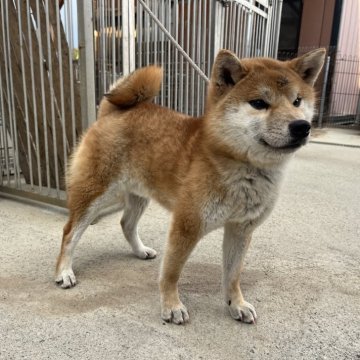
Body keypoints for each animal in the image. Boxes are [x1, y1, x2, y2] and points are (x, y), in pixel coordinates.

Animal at [55, 47, 326, 324]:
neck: (241, 168)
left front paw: (236, 304)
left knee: (126, 224)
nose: (302, 126)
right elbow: (172, 272)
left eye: (297, 101)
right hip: (95, 193)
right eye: (259, 103)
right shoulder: (186, 225)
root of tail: (112, 111)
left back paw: (140, 250)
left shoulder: (241, 229)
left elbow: (233, 275)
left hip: (139, 195)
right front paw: (172, 306)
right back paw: (64, 272)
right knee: (70, 232)